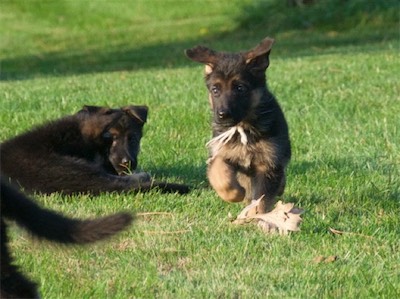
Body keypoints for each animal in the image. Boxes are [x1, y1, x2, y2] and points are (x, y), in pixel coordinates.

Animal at [184, 38, 290, 213]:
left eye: (240, 88)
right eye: (215, 90)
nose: (223, 115)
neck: (242, 129)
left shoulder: (267, 163)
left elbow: (261, 199)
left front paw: (256, 215)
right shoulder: (220, 153)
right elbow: (219, 174)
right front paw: (236, 194)